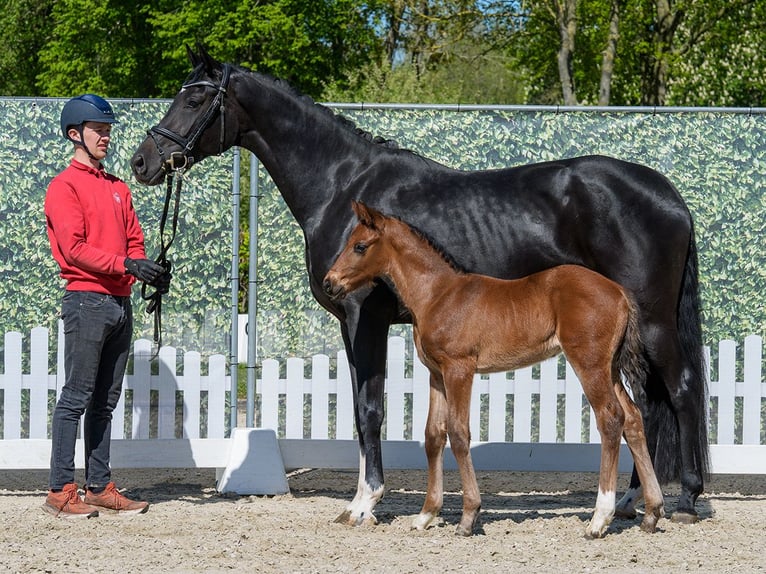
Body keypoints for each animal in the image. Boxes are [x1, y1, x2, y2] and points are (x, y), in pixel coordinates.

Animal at [323, 200, 665, 537]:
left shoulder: (459, 368)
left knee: (610, 418)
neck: (438, 294)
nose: (329, 283)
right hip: (610, 367)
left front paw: (468, 517)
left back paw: (599, 519)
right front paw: (425, 516)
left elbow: (459, 432)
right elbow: (433, 435)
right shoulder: (436, 374)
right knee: (633, 418)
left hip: (589, 363)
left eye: (360, 246)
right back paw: (652, 513)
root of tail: (621, 293)